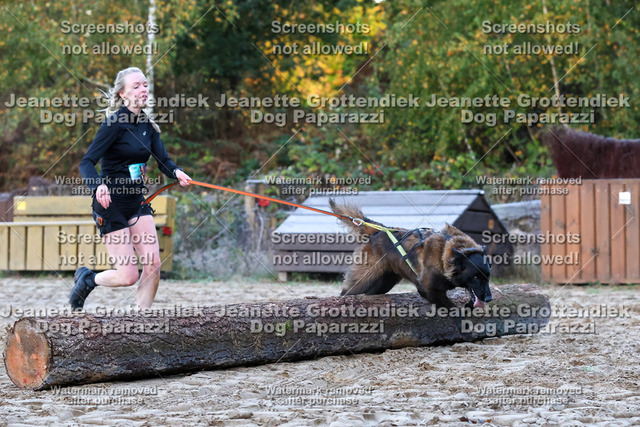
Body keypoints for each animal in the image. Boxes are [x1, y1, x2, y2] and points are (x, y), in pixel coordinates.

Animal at [329, 199, 492, 309]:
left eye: (488, 277)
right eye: (475, 277)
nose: (489, 298)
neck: (446, 252)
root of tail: (380, 230)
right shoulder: (427, 289)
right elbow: (451, 308)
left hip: (383, 282)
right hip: (364, 279)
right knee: (345, 293)